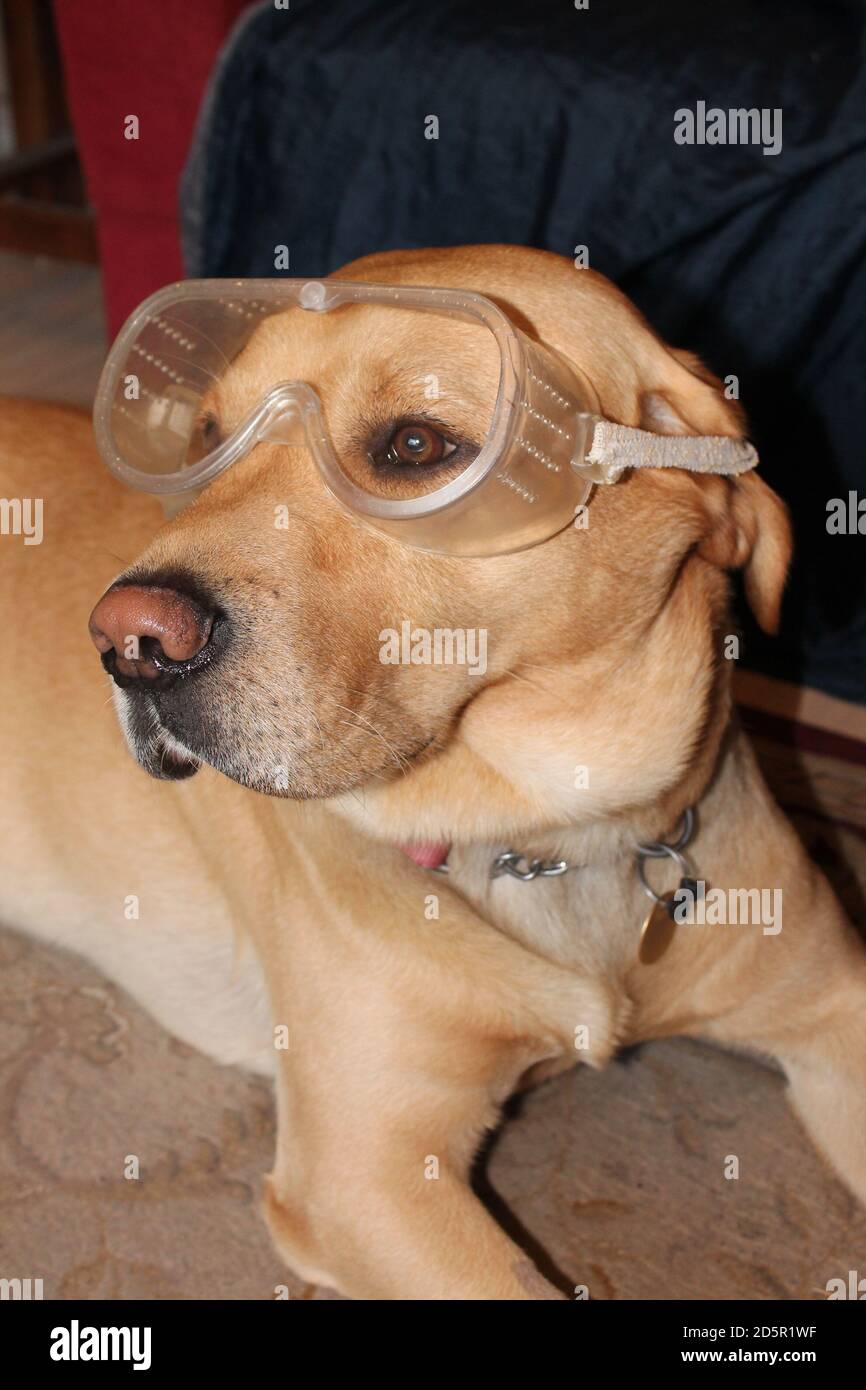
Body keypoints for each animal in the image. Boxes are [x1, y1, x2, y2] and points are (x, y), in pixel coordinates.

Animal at [1, 244, 866, 1295]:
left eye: (415, 445)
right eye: (205, 435)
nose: (129, 641)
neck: (556, 834)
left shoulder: (835, 1013)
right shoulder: (365, 1173)